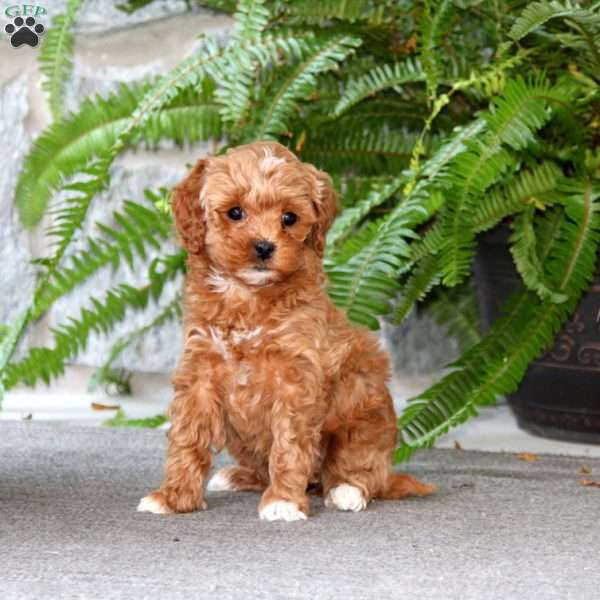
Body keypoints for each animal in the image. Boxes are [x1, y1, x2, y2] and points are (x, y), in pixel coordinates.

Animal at [138, 143, 434, 524]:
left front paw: (283, 501)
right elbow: (188, 438)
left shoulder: (296, 380)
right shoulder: (200, 371)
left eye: (289, 218)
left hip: (364, 418)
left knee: (362, 469)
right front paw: (174, 497)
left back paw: (347, 490)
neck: (249, 297)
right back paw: (238, 476)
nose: (265, 247)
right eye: (235, 212)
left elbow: (289, 445)